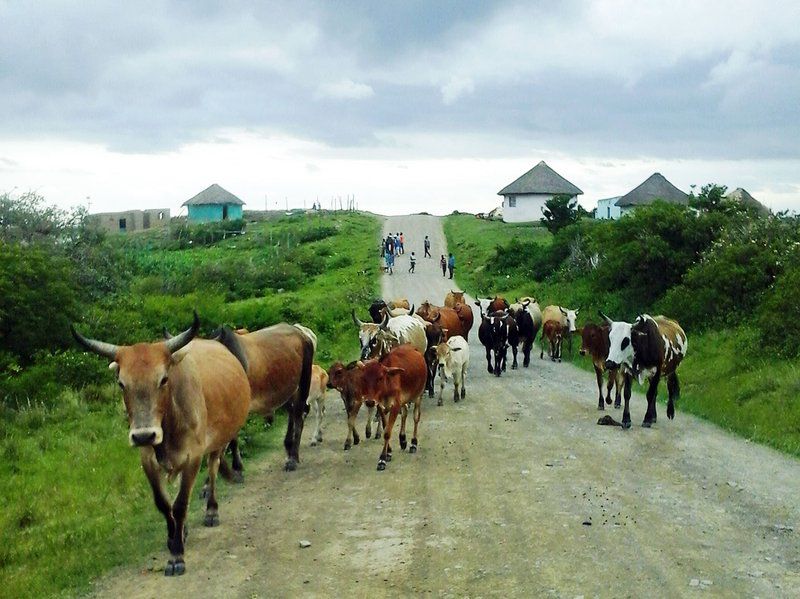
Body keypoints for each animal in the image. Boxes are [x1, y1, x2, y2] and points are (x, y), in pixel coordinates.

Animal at [74, 314, 253, 576]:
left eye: (163, 379)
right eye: (121, 383)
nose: (143, 436)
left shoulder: (192, 457)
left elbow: (179, 504)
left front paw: (176, 555)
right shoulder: (148, 460)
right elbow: (163, 504)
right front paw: (174, 537)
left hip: (219, 441)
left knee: (212, 469)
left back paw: (211, 510)